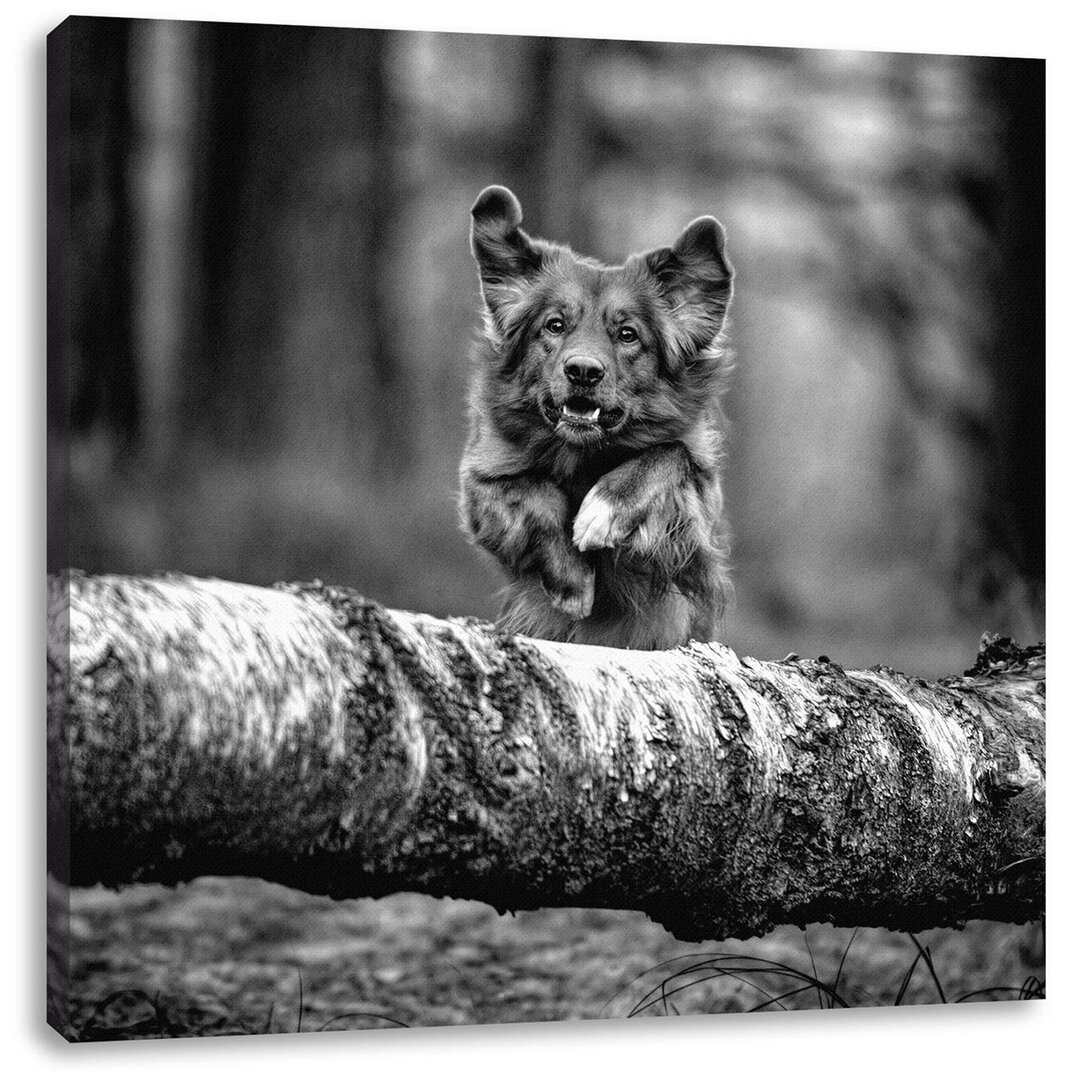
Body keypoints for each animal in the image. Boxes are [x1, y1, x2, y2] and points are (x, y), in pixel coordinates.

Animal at [455, 185, 734, 648]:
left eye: (628, 334)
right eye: (554, 325)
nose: (583, 371)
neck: (583, 451)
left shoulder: (696, 515)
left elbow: (668, 454)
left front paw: (604, 509)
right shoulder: (481, 482)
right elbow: (537, 494)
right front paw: (573, 581)